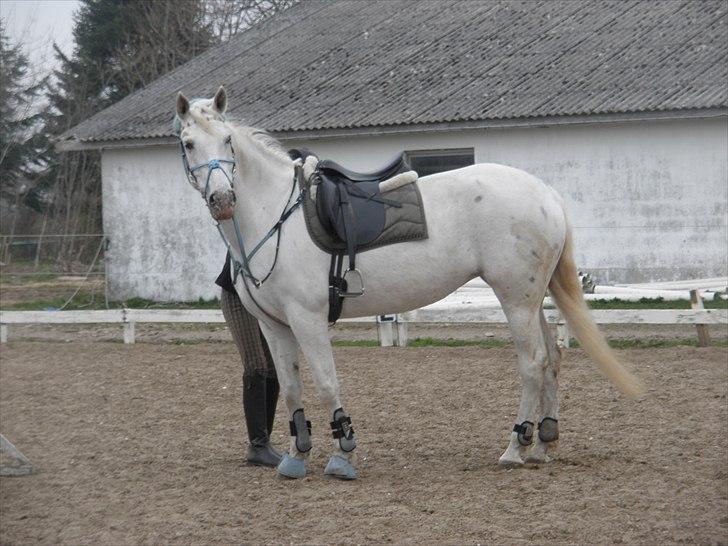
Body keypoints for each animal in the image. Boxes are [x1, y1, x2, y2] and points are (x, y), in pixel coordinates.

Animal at [173, 87, 640, 478]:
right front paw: (295, 455)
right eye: (189, 143)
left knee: (533, 362)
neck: (275, 216)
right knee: (552, 360)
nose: (223, 201)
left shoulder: (308, 319)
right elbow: (289, 388)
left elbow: (326, 383)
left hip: (515, 299)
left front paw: (342, 453)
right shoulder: (274, 325)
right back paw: (542, 443)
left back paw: (515, 446)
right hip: (532, 297)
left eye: (228, 141)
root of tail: (545, 192)